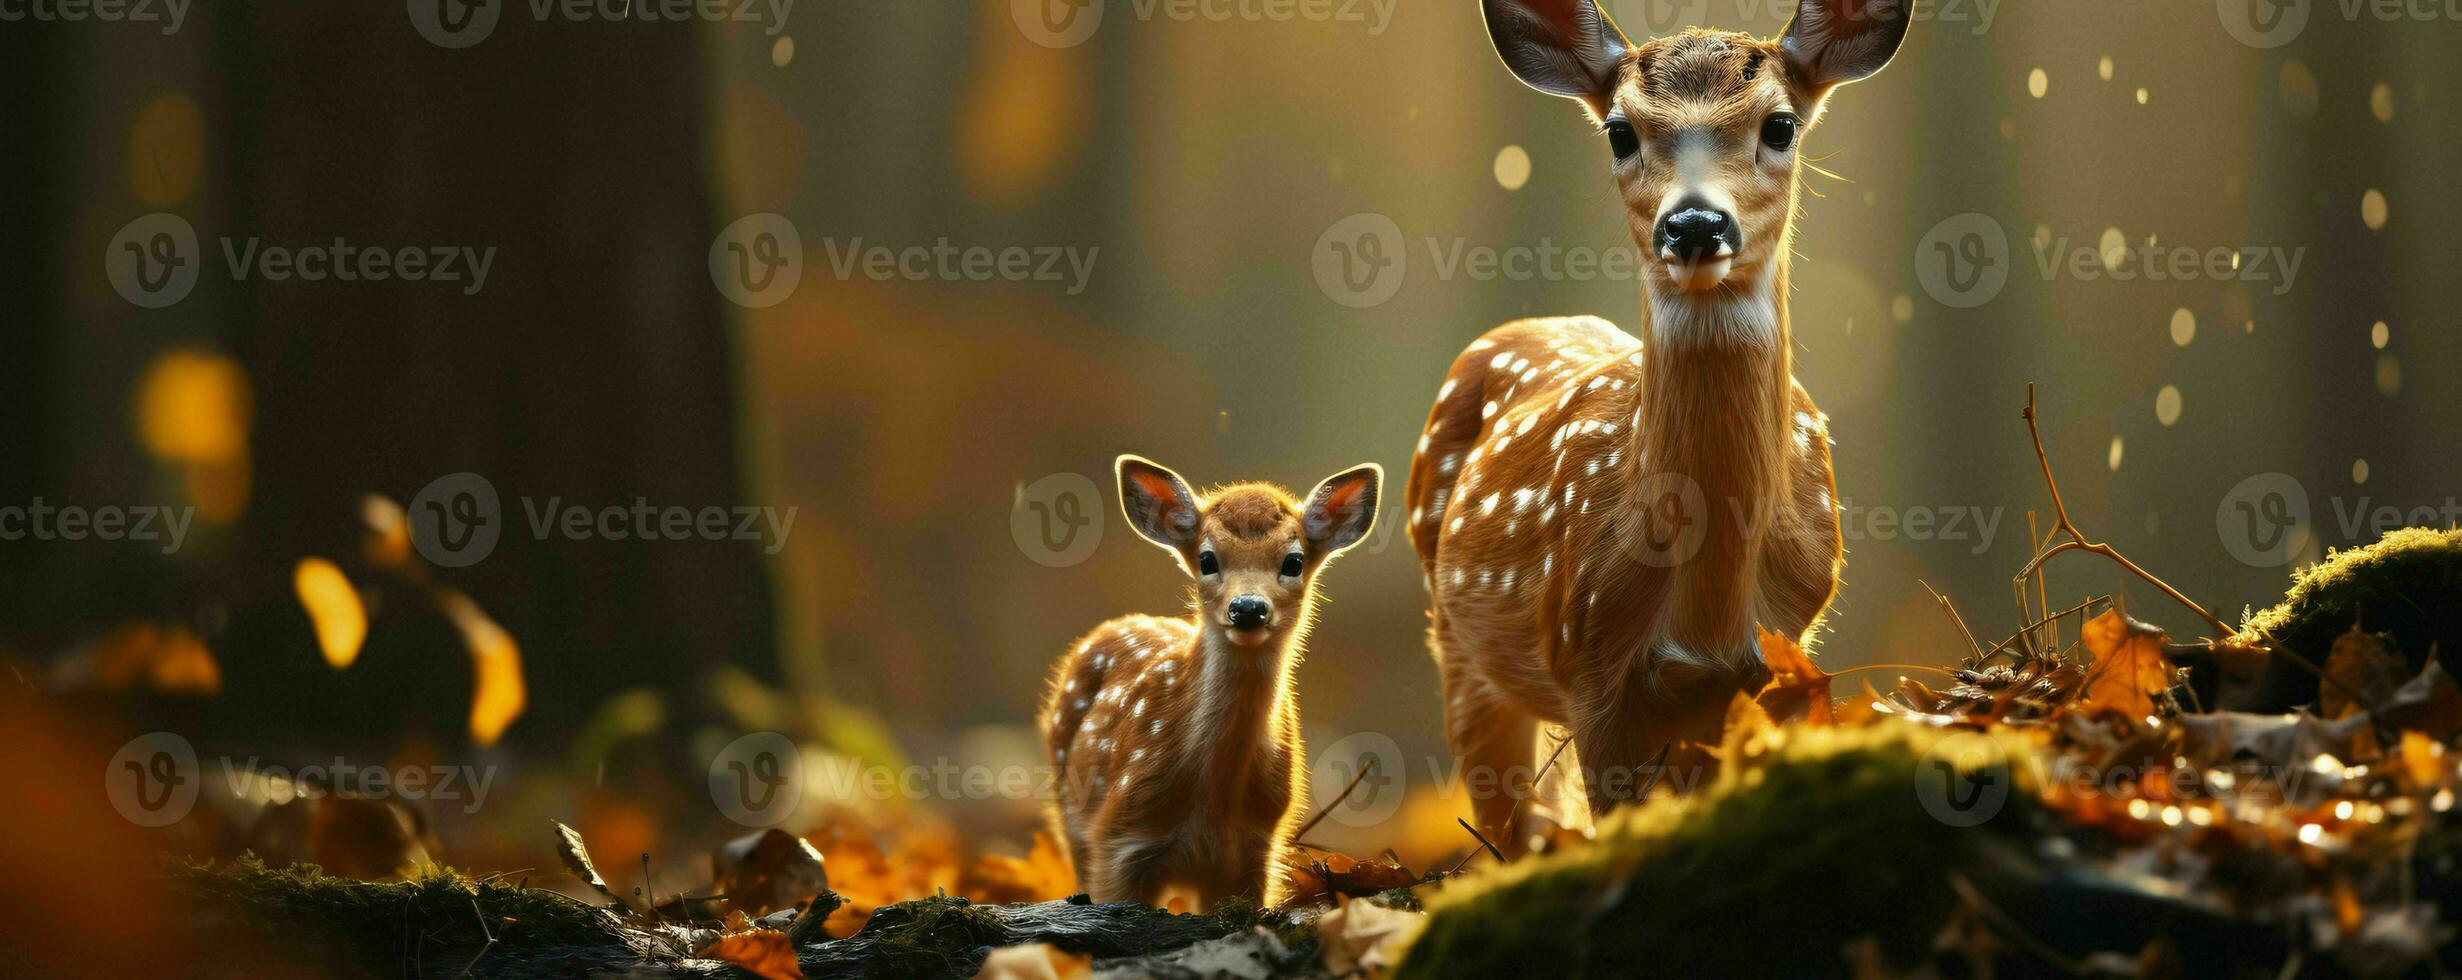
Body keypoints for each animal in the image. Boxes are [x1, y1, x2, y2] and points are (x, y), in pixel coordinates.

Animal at [1408, 0, 1900, 847]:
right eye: (1619, 132)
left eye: (1780, 125)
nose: (1695, 224)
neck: (1709, 611)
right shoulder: (1587, 662)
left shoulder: (1778, 661)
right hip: (1458, 639)